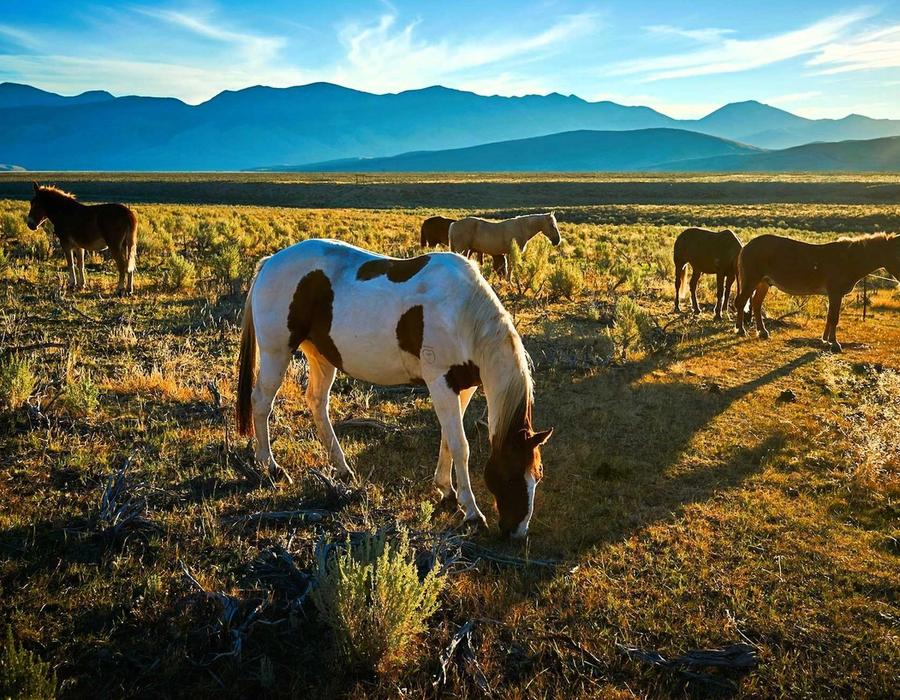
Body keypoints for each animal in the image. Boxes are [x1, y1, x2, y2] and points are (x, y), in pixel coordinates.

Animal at [236, 239, 553, 538]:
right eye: (511, 475)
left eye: (537, 475)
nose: (517, 532)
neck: (463, 313)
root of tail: (270, 262)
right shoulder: (440, 382)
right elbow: (460, 446)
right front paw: (472, 512)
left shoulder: (463, 388)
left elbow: (448, 439)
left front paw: (446, 490)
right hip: (277, 352)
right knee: (261, 402)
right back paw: (271, 467)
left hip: (321, 356)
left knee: (316, 403)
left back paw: (342, 468)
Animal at [734, 233, 900, 351]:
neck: (848, 259)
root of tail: (747, 246)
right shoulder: (835, 293)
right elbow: (833, 318)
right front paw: (834, 343)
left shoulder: (834, 295)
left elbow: (829, 317)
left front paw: (825, 340)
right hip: (752, 280)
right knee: (741, 302)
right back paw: (741, 330)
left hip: (764, 283)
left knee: (756, 304)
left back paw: (762, 332)